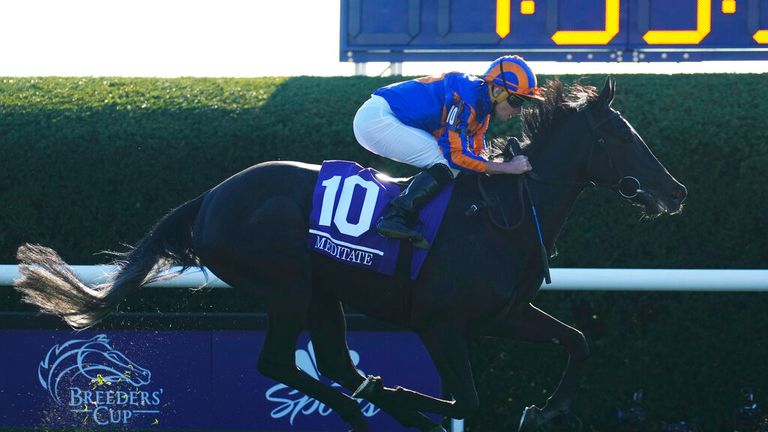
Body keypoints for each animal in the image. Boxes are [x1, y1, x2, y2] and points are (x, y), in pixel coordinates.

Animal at [13, 78, 684, 432]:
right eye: (619, 136)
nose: (674, 191)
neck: (501, 214)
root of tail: (210, 198)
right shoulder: (440, 323)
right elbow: (465, 400)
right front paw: (426, 407)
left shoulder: (503, 316)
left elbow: (578, 341)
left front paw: (545, 409)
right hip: (286, 286)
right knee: (281, 364)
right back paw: (369, 409)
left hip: (321, 292)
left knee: (333, 363)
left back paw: (366, 402)